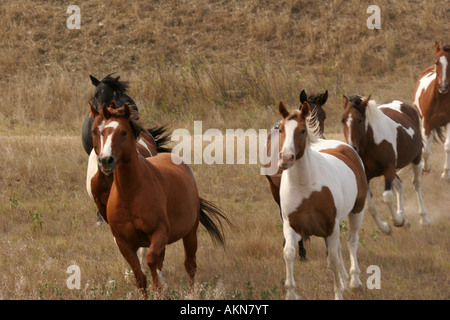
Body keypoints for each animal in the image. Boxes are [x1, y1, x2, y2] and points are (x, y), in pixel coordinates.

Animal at [88, 104, 232, 298]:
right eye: (100, 132)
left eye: (123, 132)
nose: (105, 160)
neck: (130, 194)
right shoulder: (123, 242)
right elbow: (140, 277)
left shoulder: (159, 232)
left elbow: (151, 261)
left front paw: (160, 288)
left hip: (190, 233)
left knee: (190, 265)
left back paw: (191, 292)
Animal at [276, 100, 368, 300]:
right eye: (280, 129)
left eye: (302, 130)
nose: (286, 158)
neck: (306, 188)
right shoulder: (291, 226)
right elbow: (289, 254)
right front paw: (291, 293)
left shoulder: (330, 226)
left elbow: (332, 259)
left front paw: (339, 292)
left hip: (357, 211)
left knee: (351, 241)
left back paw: (354, 281)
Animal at [342, 95, 428, 232]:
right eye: (343, 120)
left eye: (360, 120)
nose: (352, 147)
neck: (372, 144)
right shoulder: (366, 176)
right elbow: (370, 207)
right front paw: (386, 228)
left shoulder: (388, 169)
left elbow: (387, 196)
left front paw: (397, 220)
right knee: (400, 185)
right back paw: (403, 215)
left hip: (416, 158)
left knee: (416, 184)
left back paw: (423, 219)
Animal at [412, 42, 450, 180]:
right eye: (437, 62)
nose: (443, 87)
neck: (440, 99)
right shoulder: (426, 123)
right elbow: (426, 150)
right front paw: (426, 168)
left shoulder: (448, 122)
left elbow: (447, 146)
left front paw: (446, 174)